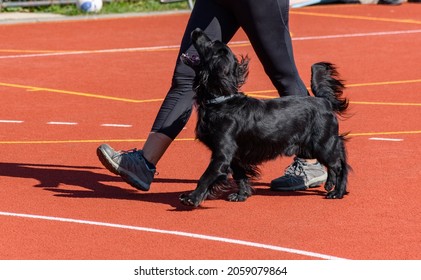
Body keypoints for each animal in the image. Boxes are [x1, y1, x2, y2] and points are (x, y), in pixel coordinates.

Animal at [180, 28, 348, 207]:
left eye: (212, 43)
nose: (197, 30)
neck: (222, 100)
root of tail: (324, 101)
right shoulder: (235, 155)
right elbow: (240, 175)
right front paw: (241, 195)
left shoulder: (222, 154)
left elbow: (206, 176)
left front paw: (192, 197)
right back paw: (330, 184)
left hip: (323, 144)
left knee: (340, 166)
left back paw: (338, 192)